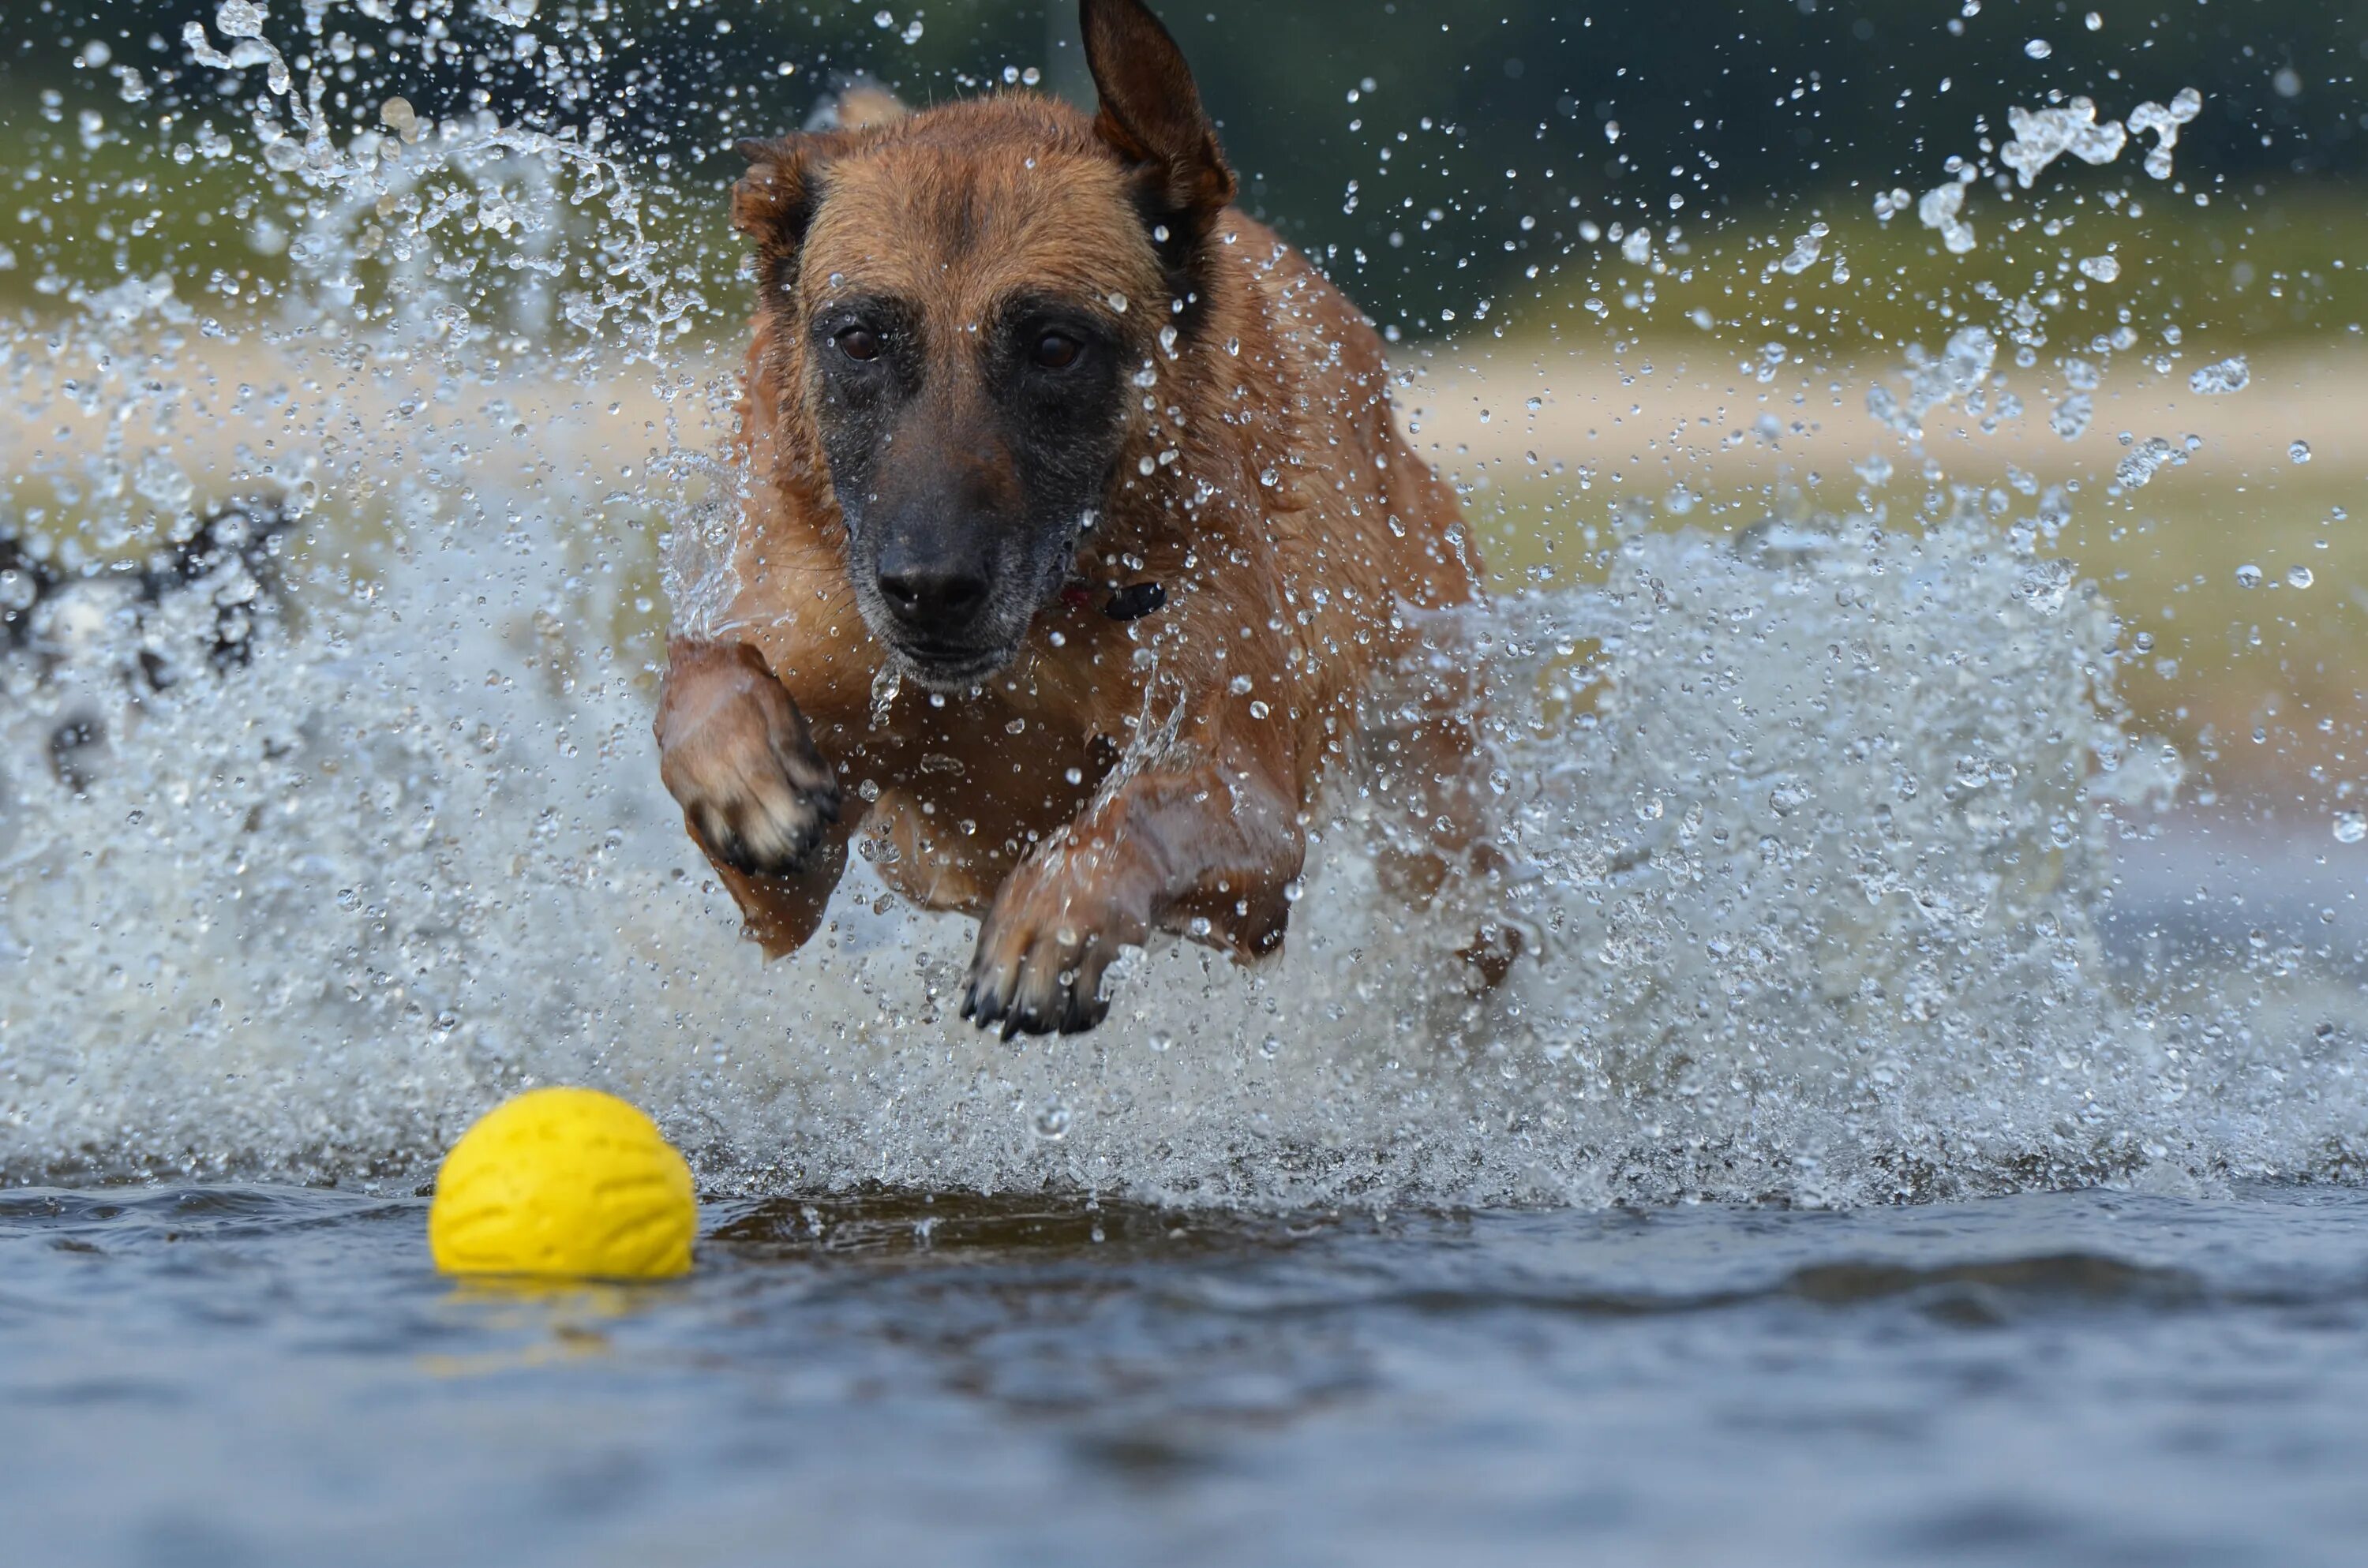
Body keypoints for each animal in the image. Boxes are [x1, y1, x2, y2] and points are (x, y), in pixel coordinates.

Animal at [654, 0, 1497, 1037]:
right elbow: (703, 671)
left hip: (1440, 812)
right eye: (857, 339)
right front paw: (738, 766)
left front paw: (1051, 919)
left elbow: (1140, 810)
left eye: (1055, 346)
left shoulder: (1255, 821)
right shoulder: (789, 882)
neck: (1035, 644)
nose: (928, 592)